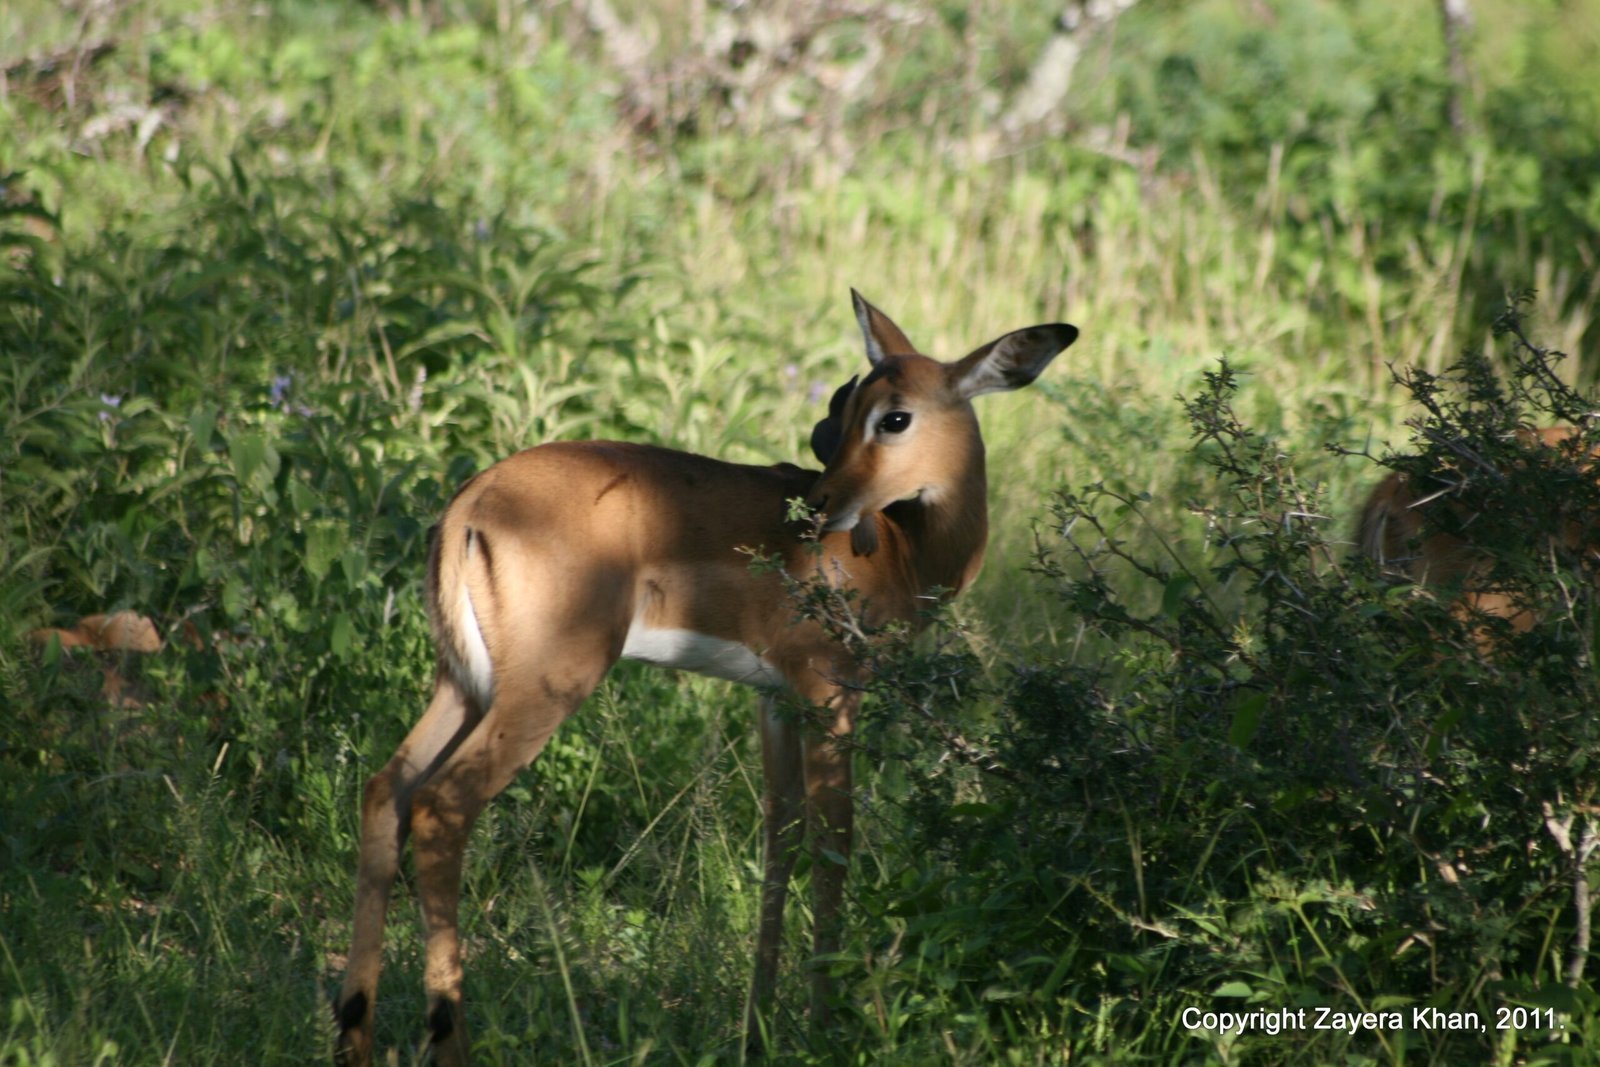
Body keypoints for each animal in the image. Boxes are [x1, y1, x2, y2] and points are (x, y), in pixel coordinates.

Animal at [333, 291, 1078, 1064]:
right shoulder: (832, 693)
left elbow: (781, 835)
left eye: (891, 415)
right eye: (855, 412)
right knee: (442, 805)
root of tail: (468, 506)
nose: (819, 505)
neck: (905, 552)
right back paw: (449, 1036)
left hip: (462, 687)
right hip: (543, 688)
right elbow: (834, 841)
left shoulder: (777, 700)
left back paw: (354, 1032)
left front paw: (760, 1019)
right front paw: (823, 1023)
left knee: (387, 789)